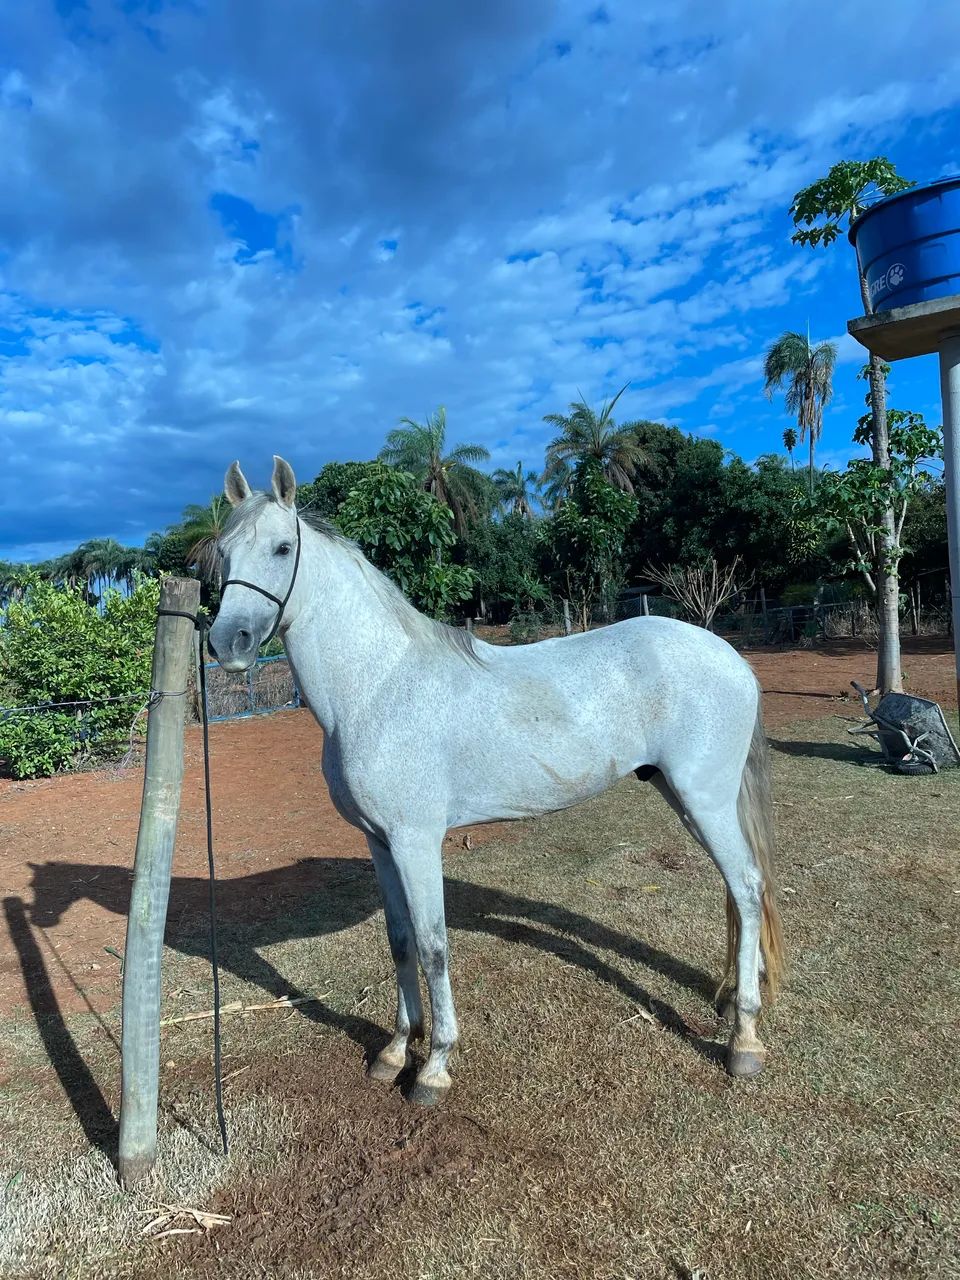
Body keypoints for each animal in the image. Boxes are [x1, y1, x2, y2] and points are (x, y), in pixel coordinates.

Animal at [207, 456, 785, 1106]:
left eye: (283, 548)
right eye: (224, 551)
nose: (228, 643)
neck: (378, 685)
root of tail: (731, 658)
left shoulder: (416, 842)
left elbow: (433, 946)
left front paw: (433, 1067)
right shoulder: (380, 843)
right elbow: (400, 940)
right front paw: (393, 1050)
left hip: (703, 798)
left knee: (746, 887)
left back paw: (744, 1039)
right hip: (683, 794)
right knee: (739, 891)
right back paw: (731, 1006)